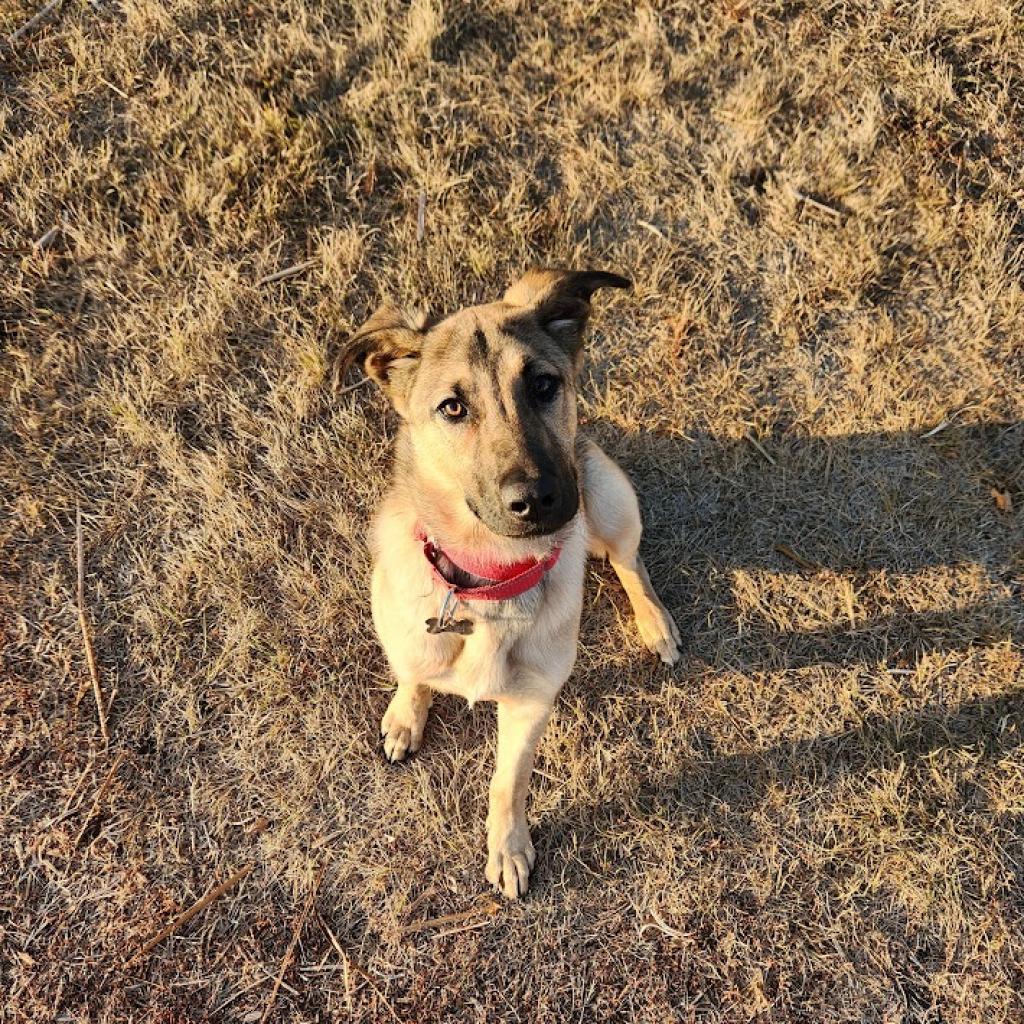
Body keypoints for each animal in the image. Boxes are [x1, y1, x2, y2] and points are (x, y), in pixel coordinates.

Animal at [342, 270, 679, 897]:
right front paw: (405, 715)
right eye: (452, 408)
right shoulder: (408, 637)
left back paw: (655, 624)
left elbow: (509, 781)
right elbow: (412, 674)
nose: (538, 501)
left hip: (607, 494)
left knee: (631, 563)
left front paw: (508, 849)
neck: (486, 582)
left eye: (544, 385)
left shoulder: (530, 703)